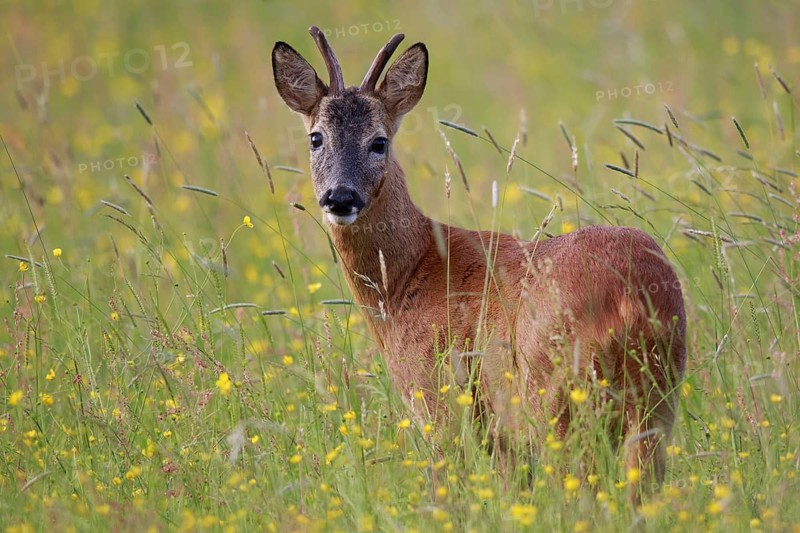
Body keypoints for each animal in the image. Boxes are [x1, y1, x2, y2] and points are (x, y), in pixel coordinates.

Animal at [271, 26, 687, 501]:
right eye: (316, 137)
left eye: (379, 141)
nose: (340, 197)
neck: (409, 278)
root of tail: (632, 293)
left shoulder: (436, 396)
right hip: (658, 398)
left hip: (557, 396)